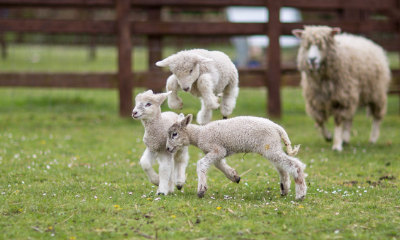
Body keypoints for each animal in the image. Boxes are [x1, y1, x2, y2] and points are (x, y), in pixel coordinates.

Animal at [166, 113, 306, 200]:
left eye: (174, 134)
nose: (167, 148)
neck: (199, 134)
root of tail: (278, 128)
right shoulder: (216, 152)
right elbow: (219, 164)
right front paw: (234, 176)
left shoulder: (217, 149)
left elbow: (201, 163)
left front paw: (201, 190)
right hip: (271, 147)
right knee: (283, 168)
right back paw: (284, 190)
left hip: (270, 147)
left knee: (295, 165)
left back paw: (300, 194)